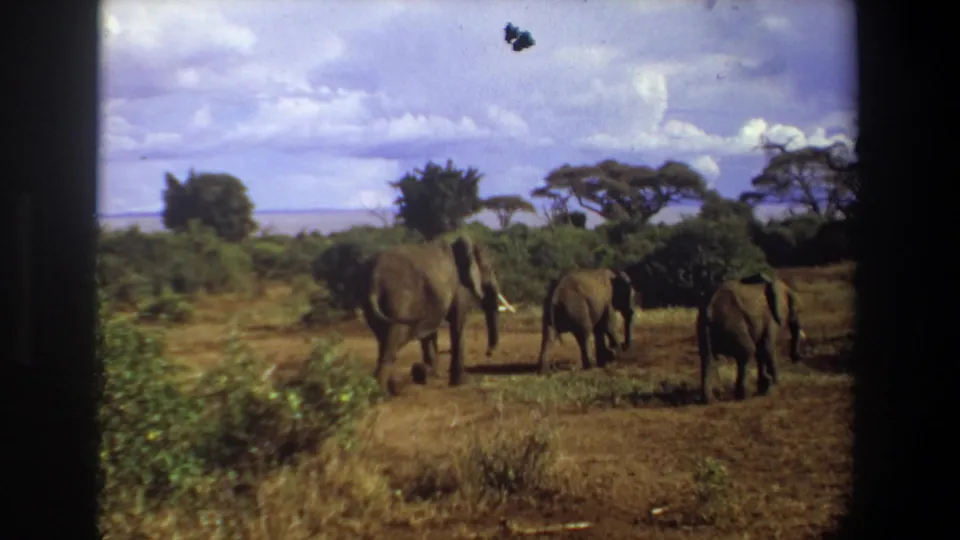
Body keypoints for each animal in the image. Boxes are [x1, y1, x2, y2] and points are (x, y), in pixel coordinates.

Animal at [360, 234, 502, 395]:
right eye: (489, 269)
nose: (489, 353)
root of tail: (375, 279)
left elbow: (430, 332)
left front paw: (429, 374)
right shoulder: (459, 288)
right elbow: (458, 325)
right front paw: (463, 382)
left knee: (384, 342)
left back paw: (394, 388)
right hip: (399, 300)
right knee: (393, 342)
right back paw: (383, 394)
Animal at [696, 273, 806, 404]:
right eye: (793, 304)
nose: (798, 357)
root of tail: (710, 309)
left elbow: (761, 351)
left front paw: (765, 387)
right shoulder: (770, 317)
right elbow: (767, 347)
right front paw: (776, 385)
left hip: (703, 327)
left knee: (707, 359)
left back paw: (709, 400)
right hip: (732, 323)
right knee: (747, 351)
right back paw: (743, 396)